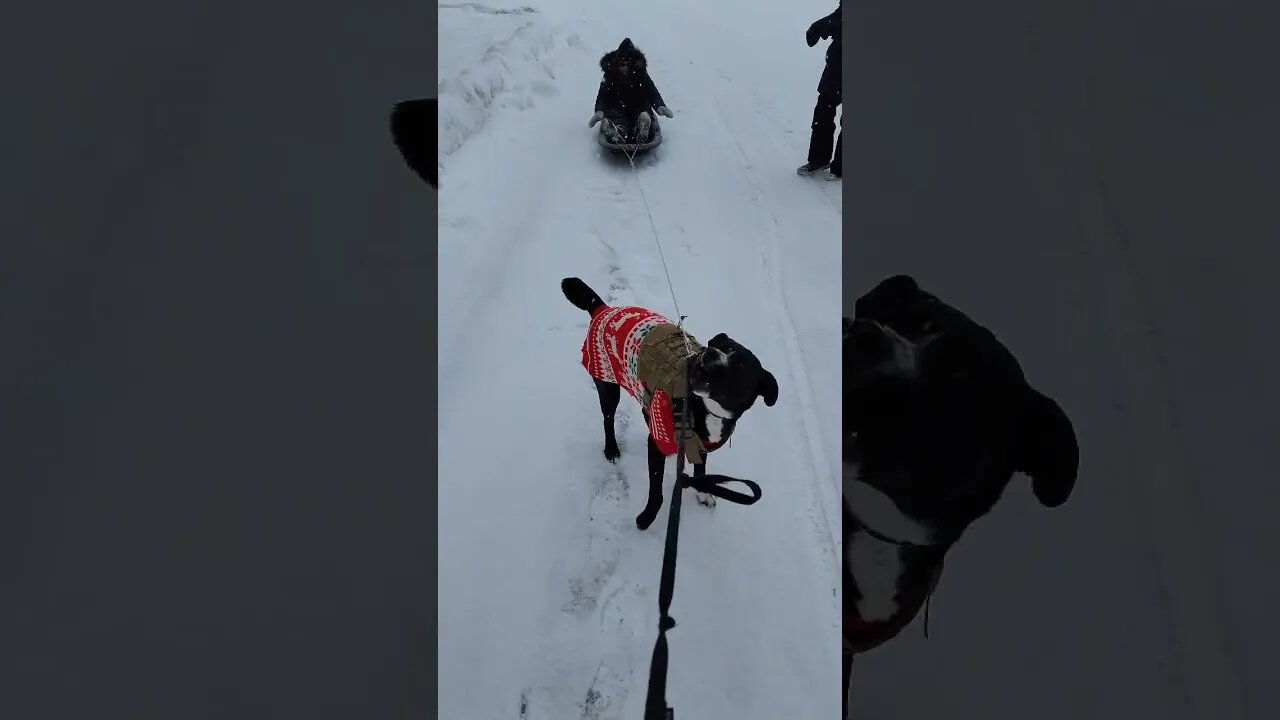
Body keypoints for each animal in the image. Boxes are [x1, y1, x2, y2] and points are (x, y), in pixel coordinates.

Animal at [563, 274, 778, 527]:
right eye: (719, 346)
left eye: (740, 367)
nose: (710, 354)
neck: (704, 409)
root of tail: (604, 308)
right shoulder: (657, 446)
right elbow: (656, 489)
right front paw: (646, 518)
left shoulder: (700, 444)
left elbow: (701, 471)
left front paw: (703, 493)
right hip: (607, 385)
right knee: (608, 418)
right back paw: (612, 449)